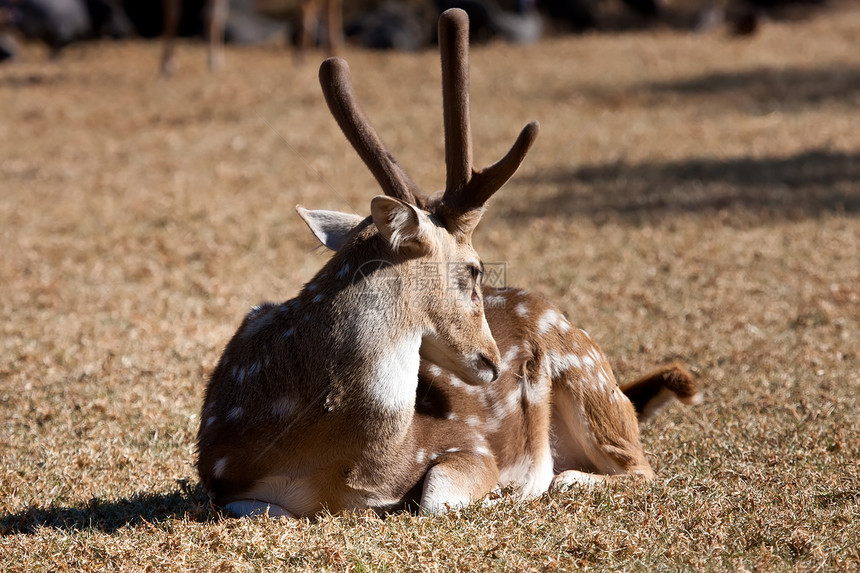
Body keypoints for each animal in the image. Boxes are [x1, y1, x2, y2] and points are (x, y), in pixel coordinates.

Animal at [161, 0, 342, 75]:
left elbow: (213, 14)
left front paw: (214, 63)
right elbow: (173, 15)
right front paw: (166, 65)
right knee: (308, 9)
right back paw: (302, 57)